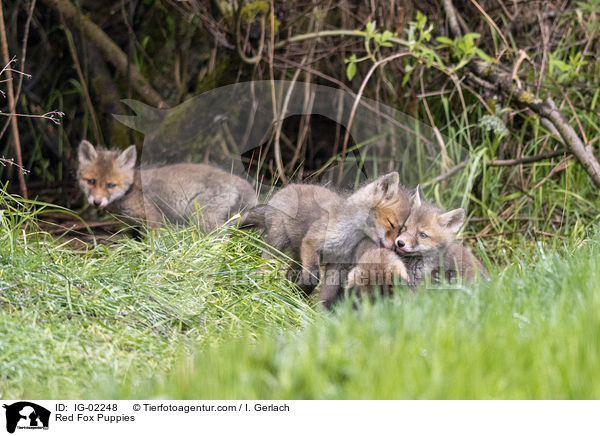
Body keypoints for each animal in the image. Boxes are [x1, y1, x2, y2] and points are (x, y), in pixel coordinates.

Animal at [77, 140, 255, 230]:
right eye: (91, 181)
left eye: (111, 185)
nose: (96, 202)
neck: (130, 190)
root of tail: (241, 181)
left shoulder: (154, 218)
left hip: (201, 215)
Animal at [241, 172, 410, 308]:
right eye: (391, 224)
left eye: (402, 230)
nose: (395, 247)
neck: (350, 236)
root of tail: (285, 189)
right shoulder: (312, 243)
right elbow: (314, 277)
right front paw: (301, 292)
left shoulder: (338, 263)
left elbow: (328, 293)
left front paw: (320, 312)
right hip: (278, 241)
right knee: (267, 261)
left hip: (297, 256)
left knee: (289, 273)